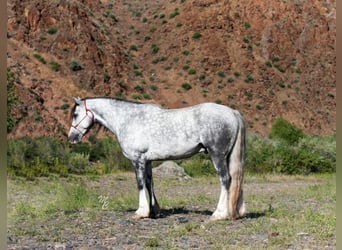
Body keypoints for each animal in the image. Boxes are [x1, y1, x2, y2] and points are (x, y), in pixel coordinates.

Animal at [67, 96, 246, 220]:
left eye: (75, 114)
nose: (72, 138)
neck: (128, 119)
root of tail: (233, 112)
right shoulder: (147, 161)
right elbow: (149, 183)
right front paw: (154, 211)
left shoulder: (137, 159)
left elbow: (140, 184)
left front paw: (141, 212)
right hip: (228, 156)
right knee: (236, 179)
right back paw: (237, 211)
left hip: (217, 155)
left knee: (225, 179)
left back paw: (219, 213)